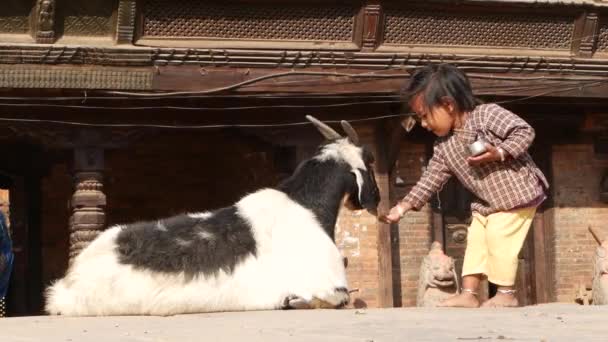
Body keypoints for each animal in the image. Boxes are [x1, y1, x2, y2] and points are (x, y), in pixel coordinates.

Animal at [46, 116, 380, 316]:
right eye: (371, 159)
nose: (375, 200)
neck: (306, 206)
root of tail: (68, 283)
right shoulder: (327, 283)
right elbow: (337, 298)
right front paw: (293, 301)